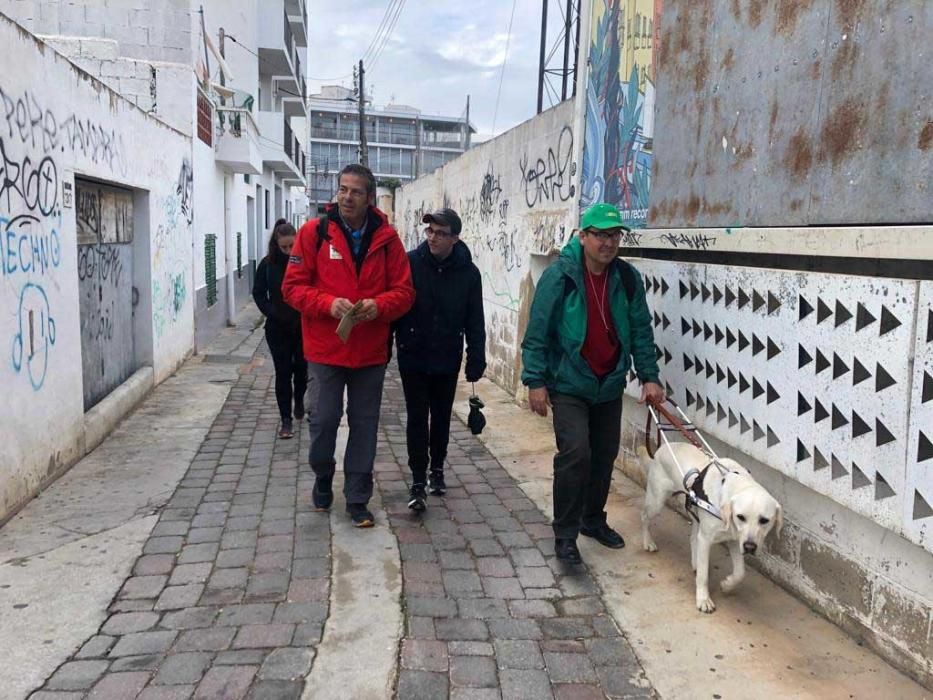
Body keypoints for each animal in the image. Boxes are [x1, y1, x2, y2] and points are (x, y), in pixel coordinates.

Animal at [636, 442, 784, 612]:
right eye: (741, 517)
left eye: (764, 520)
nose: (750, 547)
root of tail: (664, 446)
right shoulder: (707, 540)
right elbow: (703, 576)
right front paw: (703, 599)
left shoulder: (735, 540)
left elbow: (740, 572)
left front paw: (727, 585)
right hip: (657, 500)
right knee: (644, 516)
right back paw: (648, 542)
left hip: (694, 511)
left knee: (693, 538)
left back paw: (695, 562)